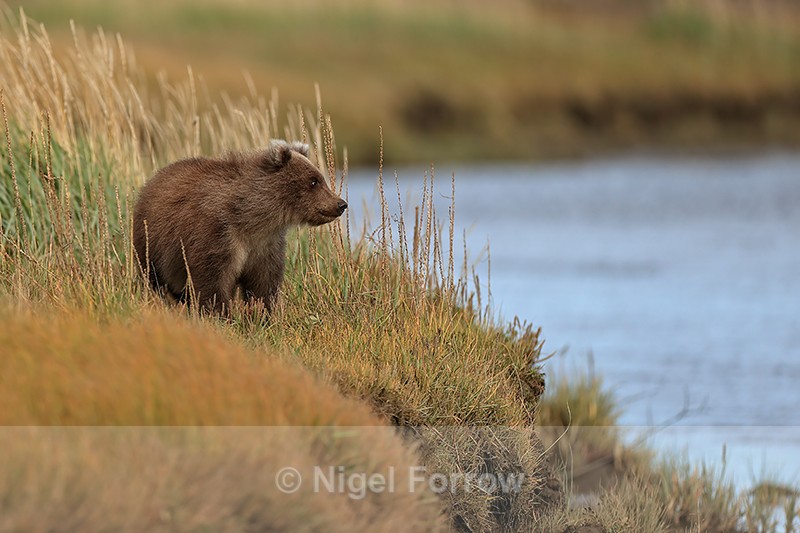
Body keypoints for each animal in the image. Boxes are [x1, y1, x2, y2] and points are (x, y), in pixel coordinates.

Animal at [132, 140, 347, 314]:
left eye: (320, 178)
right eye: (314, 181)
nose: (341, 204)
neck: (251, 219)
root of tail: (152, 181)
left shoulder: (264, 246)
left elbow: (264, 285)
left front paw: (263, 315)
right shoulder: (217, 236)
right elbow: (211, 283)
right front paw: (219, 316)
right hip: (152, 243)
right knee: (154, 278)